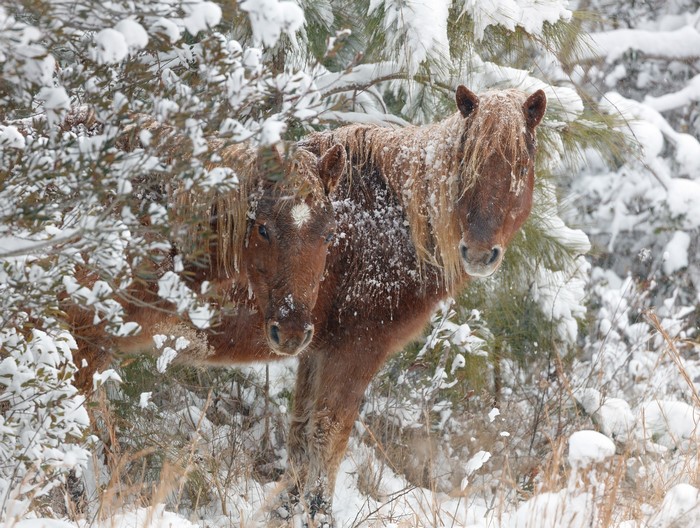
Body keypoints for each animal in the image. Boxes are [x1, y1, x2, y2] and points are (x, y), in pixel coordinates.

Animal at [269, 86, 546, 525]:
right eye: (466, 165)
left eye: (520, 166)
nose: (478, 252)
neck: (388, 225)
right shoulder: (355, 348)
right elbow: (329, 431)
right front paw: (319, 512)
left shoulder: (314, 347)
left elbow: (300, 428)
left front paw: (285, 509)